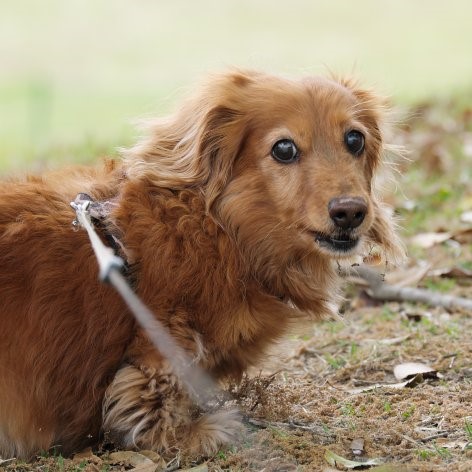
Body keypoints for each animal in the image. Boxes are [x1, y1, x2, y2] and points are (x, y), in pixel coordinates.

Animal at [0, 68, 402, 460]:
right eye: (284, 148)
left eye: (355, 140)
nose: (351, 212)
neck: (216, 231)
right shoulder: (161, 345)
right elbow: (154, 402)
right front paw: (198, 432)